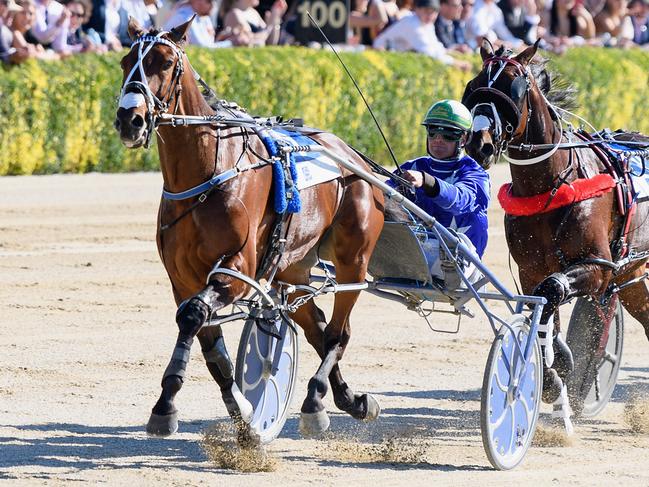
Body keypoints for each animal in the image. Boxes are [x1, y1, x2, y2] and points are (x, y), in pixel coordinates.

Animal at [114, 17, 384, 440]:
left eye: (165, 62)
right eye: (126, 62)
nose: (130, 119)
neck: (208, 171)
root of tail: (352, 157)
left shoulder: (238, 269)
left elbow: (193, 316)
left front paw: (167, 405)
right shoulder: (183, 278)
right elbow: (208, 344)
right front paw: (237, 406)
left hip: (353, 258)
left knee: (338, 333)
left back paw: (316, 400)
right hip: (293, 265)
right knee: (318, 328)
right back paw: (348, 399)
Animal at [460, 41, 648, 408]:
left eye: (514, 86)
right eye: (475, 84)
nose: (480, 142)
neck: (552, 186)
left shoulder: (599, 267)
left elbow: (552, 290)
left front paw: (558, 362)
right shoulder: (531, 267)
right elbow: (543, 301)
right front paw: (551, 371)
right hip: (632, 274)